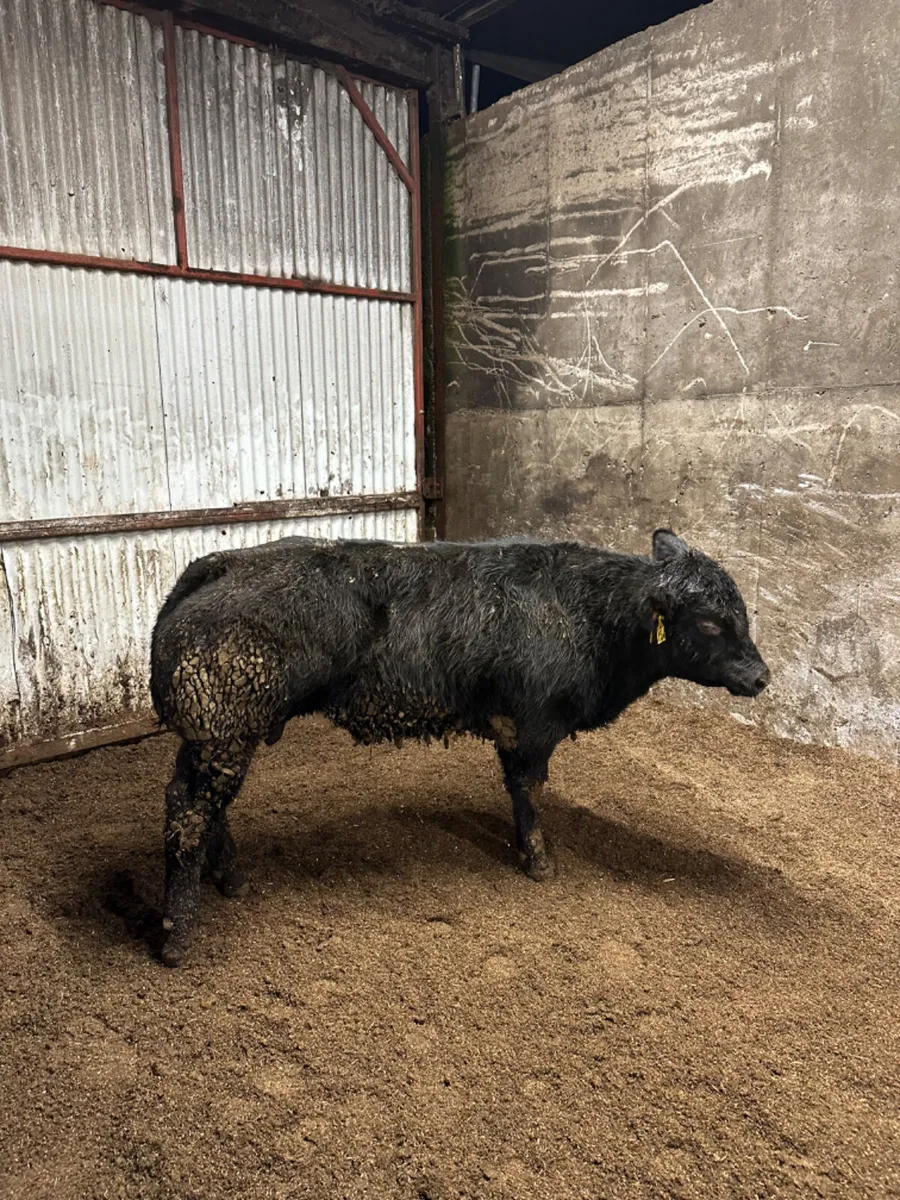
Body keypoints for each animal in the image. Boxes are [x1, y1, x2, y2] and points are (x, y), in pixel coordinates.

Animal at [150, 528, 768, 965]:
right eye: (712, 623)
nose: (762, 676)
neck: (589, 615)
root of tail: (222, 562)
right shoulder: (531, 724)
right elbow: (526, 792)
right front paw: (538, 861)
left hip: (221, 734)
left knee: (208, 807)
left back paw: (230, 879)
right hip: (223, 726)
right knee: (189, 811)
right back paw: (177, 935)